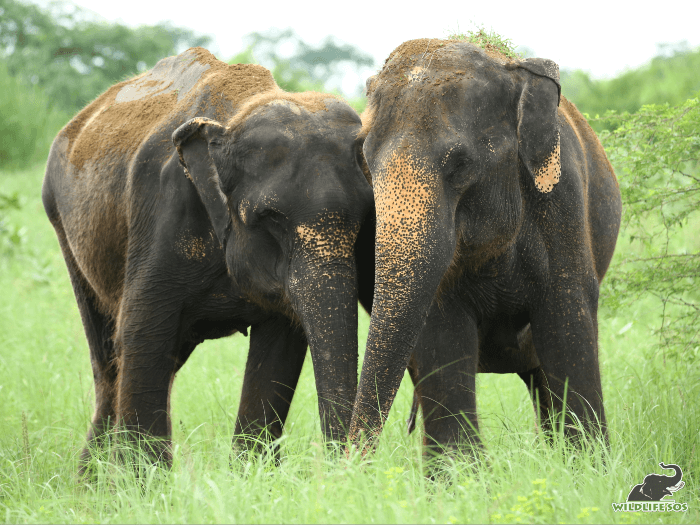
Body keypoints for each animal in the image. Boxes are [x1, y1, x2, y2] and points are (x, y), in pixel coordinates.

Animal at [41, 47, 374, 468]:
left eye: (366, 220)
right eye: (270, 218)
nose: (340, 467)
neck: (232, 119)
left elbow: (280, 348)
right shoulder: (161, 208)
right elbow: (143, 332)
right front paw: (147, 482)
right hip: (64, 226)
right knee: (110, 357)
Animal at [348, 39, 620, 452]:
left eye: (460, 164)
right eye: (364, 158)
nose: (347, 461)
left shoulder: (564, 201)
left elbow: (567, 317)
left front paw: (589, 463)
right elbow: (443, 333)